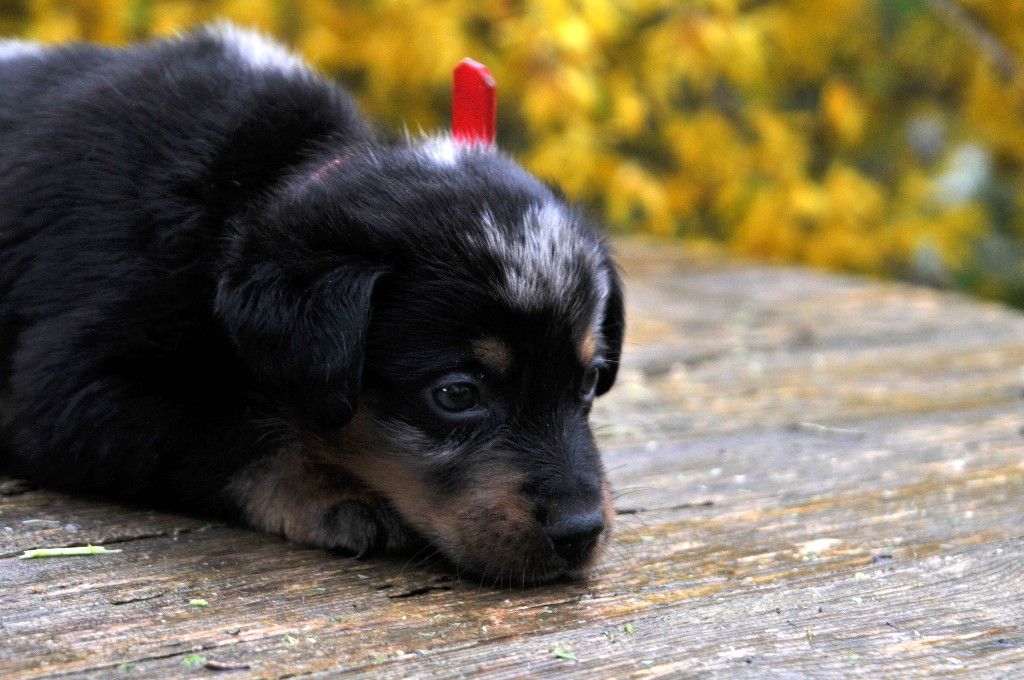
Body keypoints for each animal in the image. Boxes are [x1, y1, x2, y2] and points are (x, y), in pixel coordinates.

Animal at [0, 25, 623, 585]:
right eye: (456, 395)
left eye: (590, 380)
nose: (580, 532)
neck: (240, 205)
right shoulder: (66, 393)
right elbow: (232, 430)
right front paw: (334, 489)